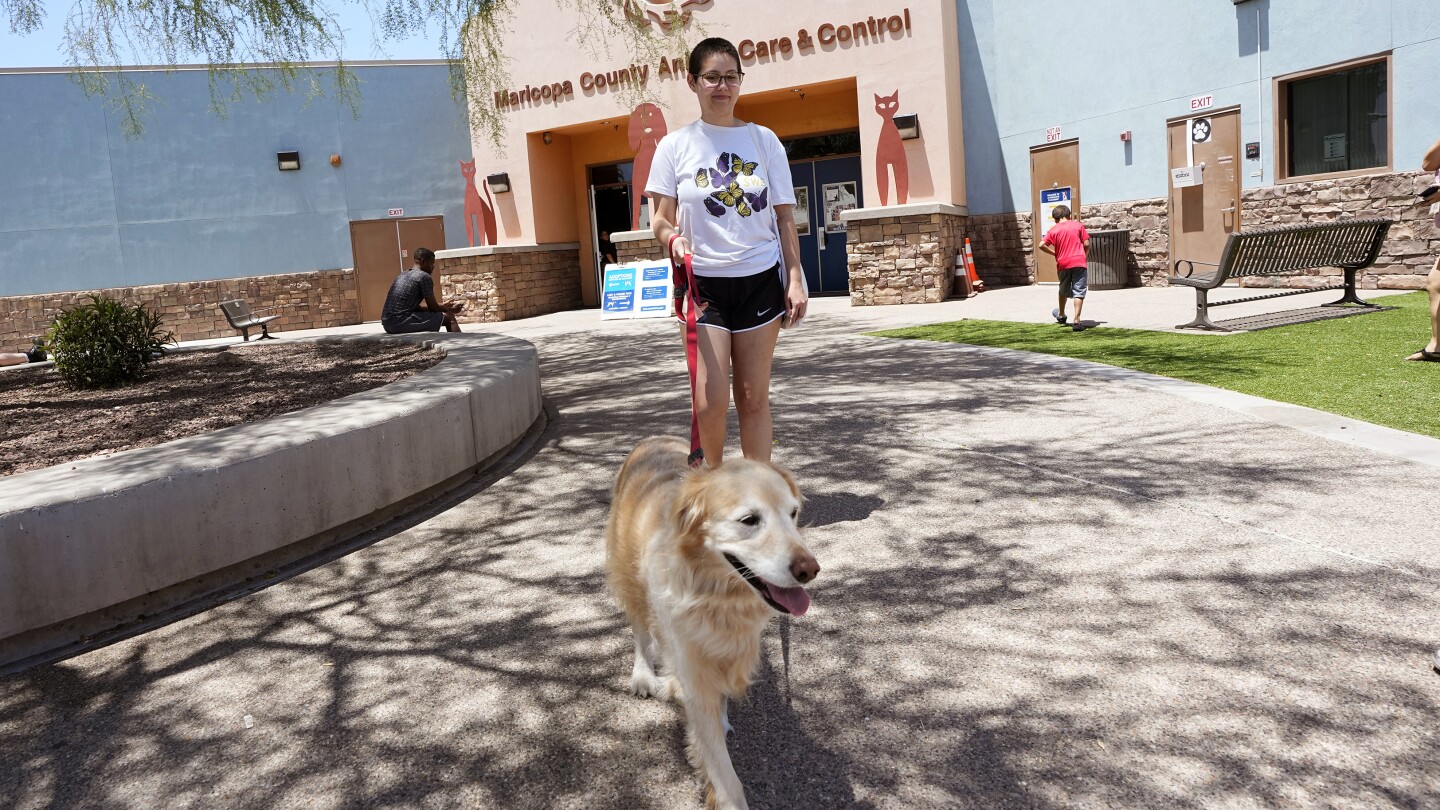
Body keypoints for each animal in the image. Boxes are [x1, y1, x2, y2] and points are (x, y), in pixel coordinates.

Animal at [601, 435, 817, 807]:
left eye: (793, 514)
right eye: (749, 520)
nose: (810, 570)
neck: (718, 597)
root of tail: (652, 440)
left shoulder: (726, 651)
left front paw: (723, 718)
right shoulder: (693, 673)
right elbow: (724, 774)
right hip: (629, 575)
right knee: (641, 632)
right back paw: (643, 675)